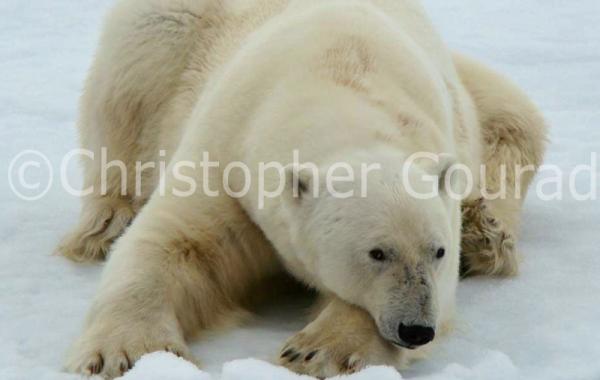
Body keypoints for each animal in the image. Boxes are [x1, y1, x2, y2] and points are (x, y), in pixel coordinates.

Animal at [58, 0, 548, 378]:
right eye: (377, 252)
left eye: (439, 252)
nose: (415, 329)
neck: (337, 78)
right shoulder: (226, 157)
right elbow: (171, 242)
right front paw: (126, 353)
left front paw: (320, 349)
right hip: (159, 39)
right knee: (121, 103)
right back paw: (105, 223)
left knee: (517, 121)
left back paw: (487, 236)